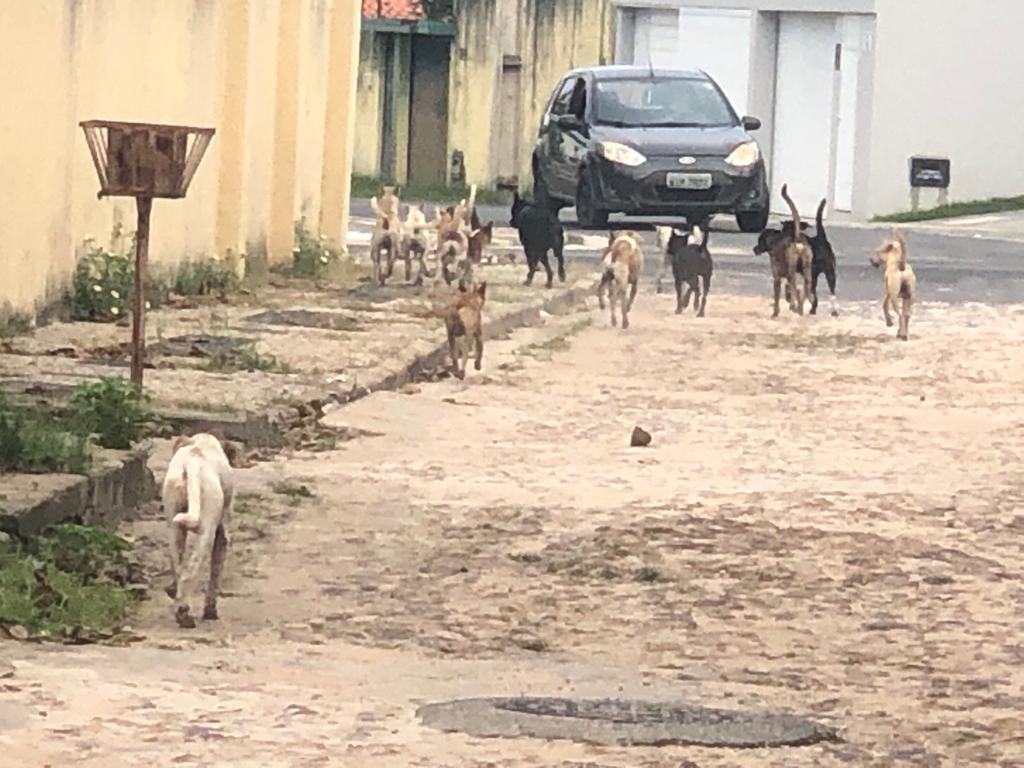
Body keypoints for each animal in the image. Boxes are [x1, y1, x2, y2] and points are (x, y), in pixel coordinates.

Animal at [161, 434, 234, 630]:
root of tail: (192, 463)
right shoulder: (221, 534)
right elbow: (215, 573)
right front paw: (210, 611)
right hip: (206, 532)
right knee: (189, 572)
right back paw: (184, 616)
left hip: (174, 526)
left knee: (179, 569)